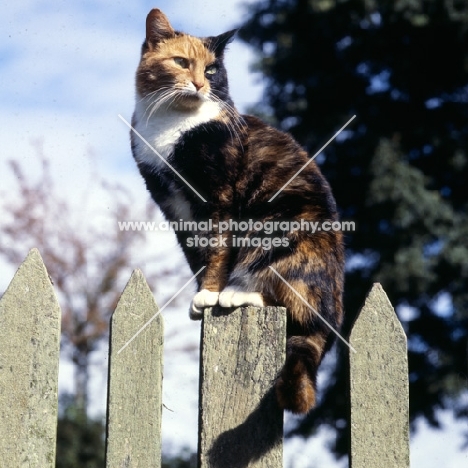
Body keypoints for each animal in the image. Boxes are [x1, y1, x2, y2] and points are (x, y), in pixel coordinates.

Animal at [130, 8, 346, 414]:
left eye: (213, 69)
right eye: (181, 62)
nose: (200, 84)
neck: (172, 127)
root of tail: (331, 320)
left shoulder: (220, 197)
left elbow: (218, 249)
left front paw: (210, 293)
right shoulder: (173, 207)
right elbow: (196, 255)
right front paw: (201, 292)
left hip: (279, 228)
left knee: (288, 299)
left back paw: (238, 292)